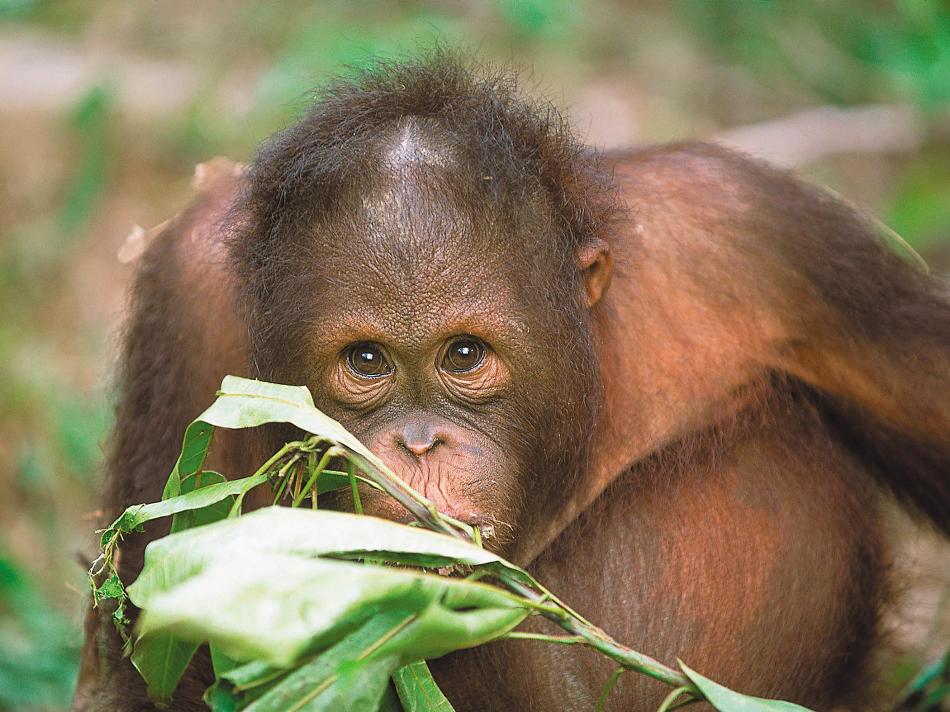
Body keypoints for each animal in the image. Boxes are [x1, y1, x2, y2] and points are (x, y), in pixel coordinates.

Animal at [72, 53, 949, 711]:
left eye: (464, 356)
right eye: (366, 363)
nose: (421, 444)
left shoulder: (756, 234)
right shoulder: (188, 311)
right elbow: (169, 650)